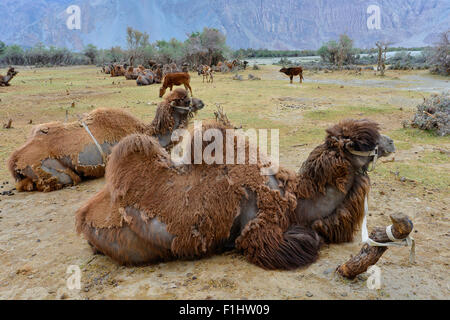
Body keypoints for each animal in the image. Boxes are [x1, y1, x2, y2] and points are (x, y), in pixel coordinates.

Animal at [75, 117, 396, 268]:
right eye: (362, 142)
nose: (391, 143)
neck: (296, 200)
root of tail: (83, 215)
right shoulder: (260, 233)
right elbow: (307, 242)